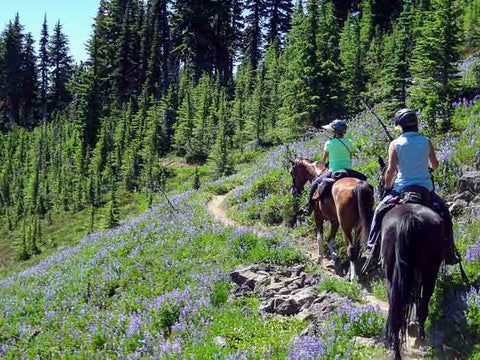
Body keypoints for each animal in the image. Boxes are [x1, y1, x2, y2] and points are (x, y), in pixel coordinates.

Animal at [376, 158, 448, 360]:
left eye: (380, 180)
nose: (381, 191)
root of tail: (409, 217)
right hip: (430, 269)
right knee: (422, 302)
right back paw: (420, 336)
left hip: (394, 273)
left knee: (396, 305)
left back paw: (397, 347)